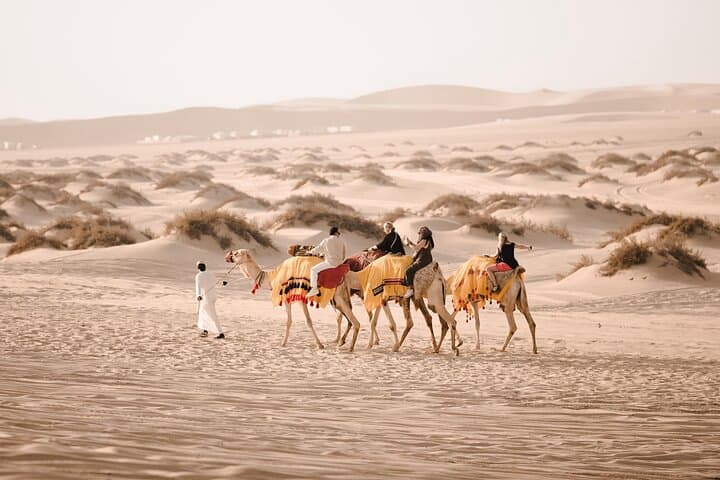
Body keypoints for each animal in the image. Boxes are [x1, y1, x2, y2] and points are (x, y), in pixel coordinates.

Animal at [225, 249, 362, 352]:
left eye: (236, 253)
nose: (227, 257)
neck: (273, 277)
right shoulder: (288, 298)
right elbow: (289, 321)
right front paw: (283, 343)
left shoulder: (300, 298)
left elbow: (308, 321)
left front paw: (320, 345)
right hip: (337, 299)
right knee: (346, 319)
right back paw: (341, 342)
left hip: (338, 298)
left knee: (354, 322)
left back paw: (350, 347)